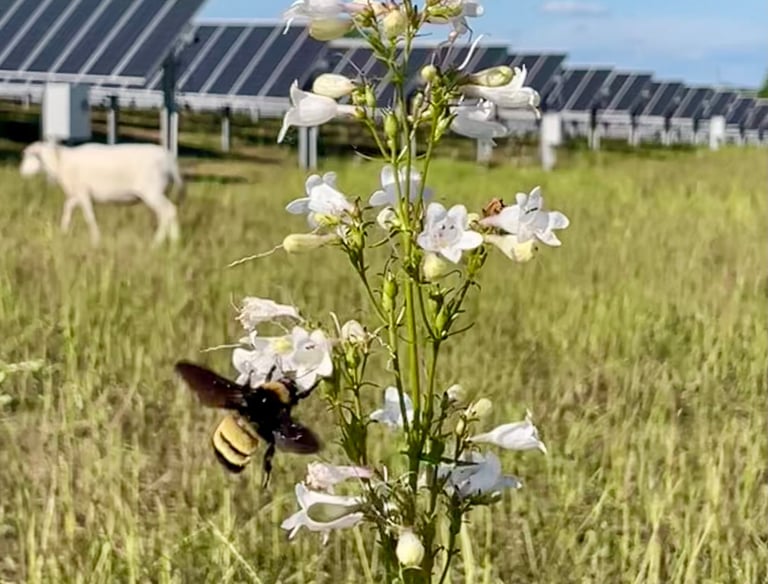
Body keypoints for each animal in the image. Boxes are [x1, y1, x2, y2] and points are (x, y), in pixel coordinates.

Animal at [19, 141, 186, 246]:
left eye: (31, 156)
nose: (21, 172)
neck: (60, 163)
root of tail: (169, 160)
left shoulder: (83, 192)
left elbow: (89, 217)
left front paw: (95, 241)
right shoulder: (78, 194)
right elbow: (68, 208)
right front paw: (63, 231)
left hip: (152, 191)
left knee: (167, 212)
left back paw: (157, 243)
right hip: (160, 191)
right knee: (171, 211)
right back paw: (175, 242)